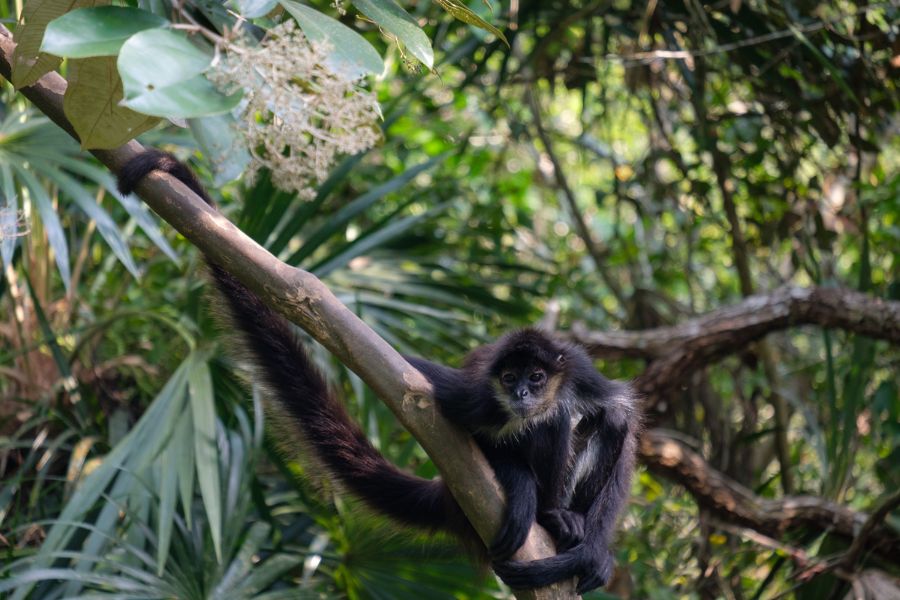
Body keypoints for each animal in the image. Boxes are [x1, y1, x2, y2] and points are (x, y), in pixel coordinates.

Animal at [118, 149, 640, 592]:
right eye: (510, 379)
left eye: (536, 378)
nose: (523, 396)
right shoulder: (475, 396)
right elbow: (431, 404)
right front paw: (519, 480)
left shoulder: (576, 370)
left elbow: (620, 413)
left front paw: (593, 553)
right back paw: (543, 509)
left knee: (579, 420)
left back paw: (563, 520)